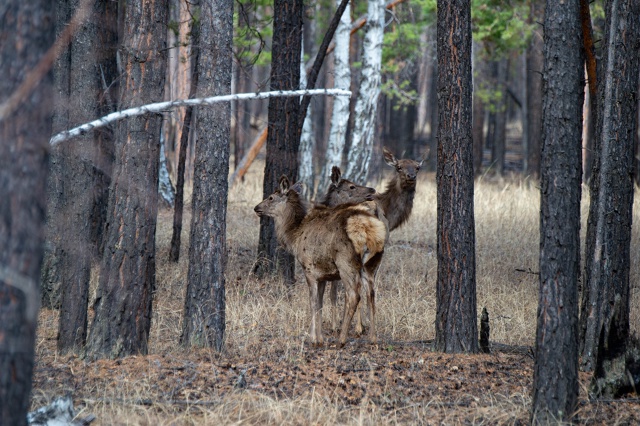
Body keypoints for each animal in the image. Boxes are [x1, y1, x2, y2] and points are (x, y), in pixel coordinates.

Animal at [254, 176, 384, 346]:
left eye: (271, 197)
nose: (256, 207)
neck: (294, 237)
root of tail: (368, 229)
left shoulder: (309, 269)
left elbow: (313, 303)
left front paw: (313, 338)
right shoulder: (323, 275)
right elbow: (320, 305)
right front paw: (320, 337)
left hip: (346, 262)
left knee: (354, 295)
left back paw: (341, 339)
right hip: (371, 264)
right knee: (371, 294)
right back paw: (373, 338)